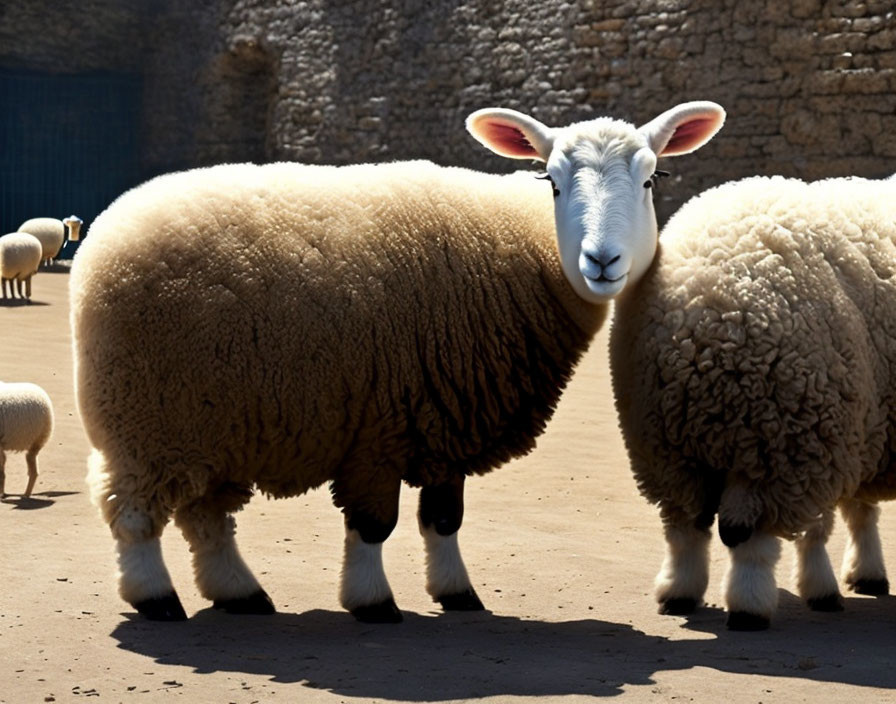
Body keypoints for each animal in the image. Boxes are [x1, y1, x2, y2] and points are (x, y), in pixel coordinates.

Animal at [70, 100, 728, 620]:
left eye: (651, 180)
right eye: (553, 181)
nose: (602, 260)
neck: (528, 252)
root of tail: (106, 231)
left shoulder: (446, 412)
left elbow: (443, 517)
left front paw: (457, 593)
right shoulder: (379, 427)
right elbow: (372, 526)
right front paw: (372, 602)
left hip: (213, 418)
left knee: (205, 516)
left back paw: (240, 593)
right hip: (145, 414)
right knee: (132, 512)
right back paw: (154, 596)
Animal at [612, 175, 896, 632]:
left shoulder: (847, 430)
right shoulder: (822, 437)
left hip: (680, 449)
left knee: (687, 527)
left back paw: (681, 592)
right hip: (775, 444)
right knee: (742, 535)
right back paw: (751, 605)